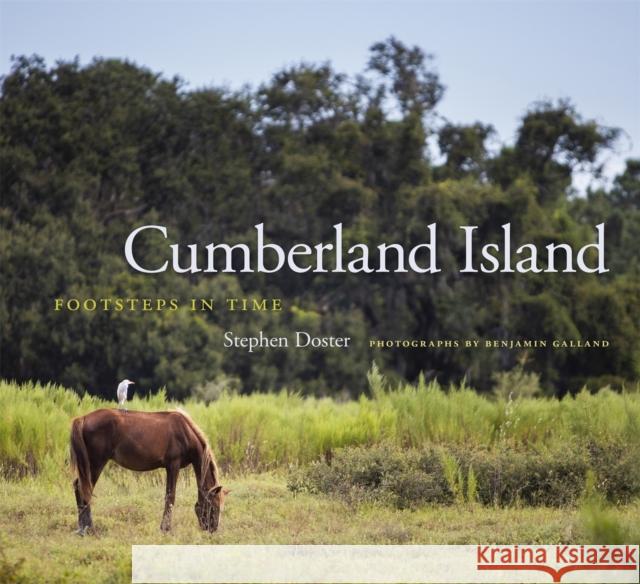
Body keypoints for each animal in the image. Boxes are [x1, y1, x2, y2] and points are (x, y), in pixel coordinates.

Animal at [69, 408, 228, 536]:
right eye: (214, 506)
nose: (213, 530)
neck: (185, 432)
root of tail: (82, 418)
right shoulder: (173, 465)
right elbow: (170, 496)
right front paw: (165, 529)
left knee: (78, 487)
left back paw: (82, 528)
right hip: (96, 463)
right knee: (84, 489)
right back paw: (89, 529)